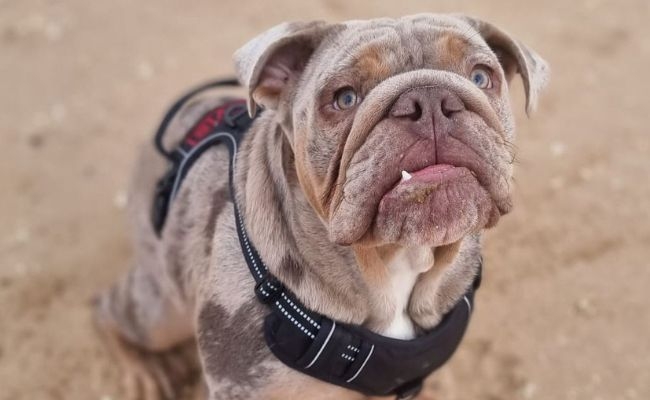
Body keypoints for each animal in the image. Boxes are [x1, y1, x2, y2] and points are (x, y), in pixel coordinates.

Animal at [93, 13, 544, 400]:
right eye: (344, 98)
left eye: (481, 77)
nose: (430, 99)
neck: (395, 261)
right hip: (161, 309)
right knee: (110, 309)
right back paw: (143, 371)